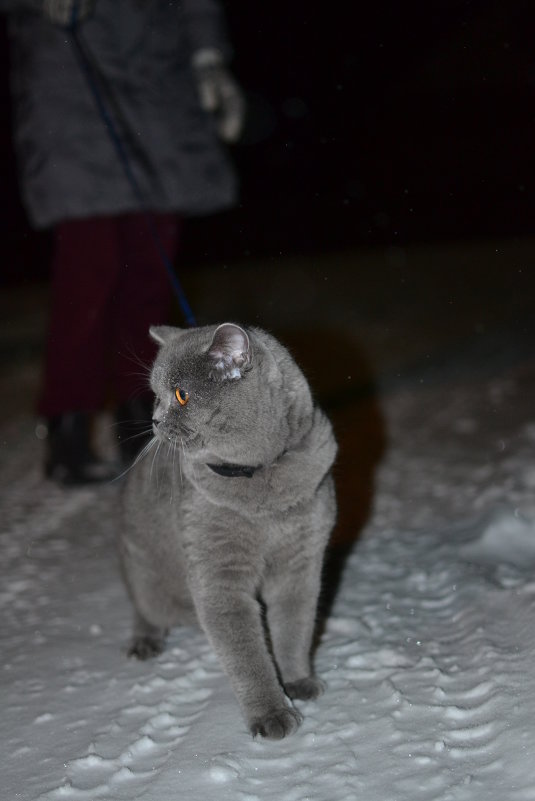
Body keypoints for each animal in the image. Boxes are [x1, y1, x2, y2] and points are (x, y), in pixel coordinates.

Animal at [119, 318, 338, 736]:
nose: (154, 420)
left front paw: (298, 681)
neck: (262, 484)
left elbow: (294, 628)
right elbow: (246, 655)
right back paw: (144, 642)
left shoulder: (301, 563)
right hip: (144, 567)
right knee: (143, 604)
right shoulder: (220, 576)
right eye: (156, 396)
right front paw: (272, 715)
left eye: (181, 395)